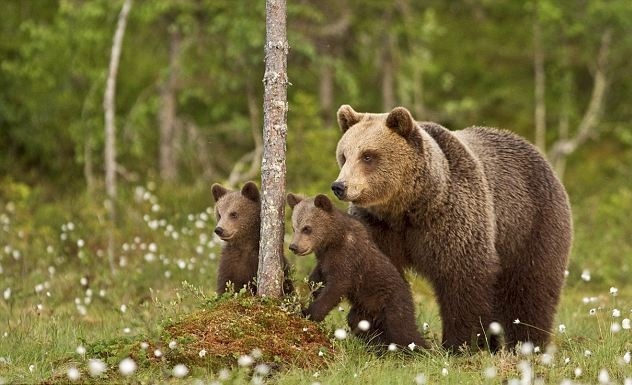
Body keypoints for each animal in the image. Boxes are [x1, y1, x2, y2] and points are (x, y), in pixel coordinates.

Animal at [334, 105, 572, 352]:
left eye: (368, 155)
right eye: (344, 155)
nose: (340, 186)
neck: (408, 208)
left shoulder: (452, 218)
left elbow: (462, 275)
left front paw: (461, 343)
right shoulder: (377, 226)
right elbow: (376, 275)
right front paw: (379, 336)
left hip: (530, 225)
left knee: (530, 288)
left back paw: (528, 344)